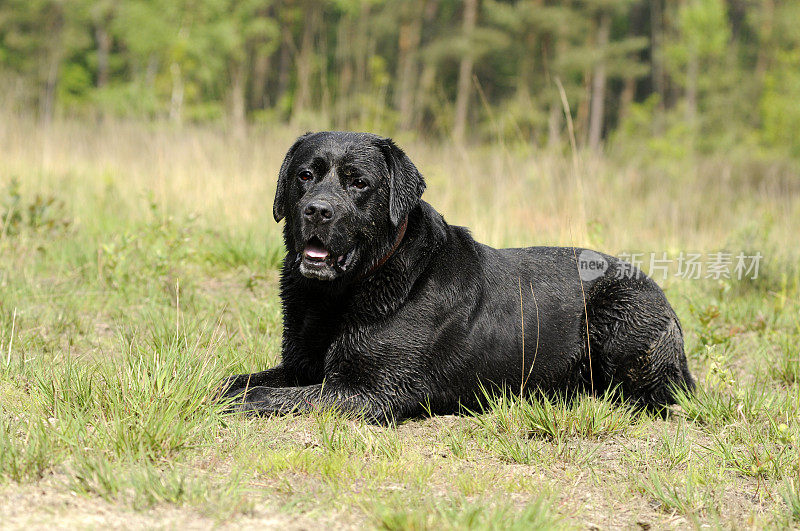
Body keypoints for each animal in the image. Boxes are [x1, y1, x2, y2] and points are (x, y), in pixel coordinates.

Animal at [220, 132, 692, 424]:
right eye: (304, 176)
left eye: (359, 183)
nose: (317, 210)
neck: (342, 292)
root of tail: (664, 298)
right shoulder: (299, 365)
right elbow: (239, 381)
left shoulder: (369, 392)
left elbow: (270, 397)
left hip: (619, 310)